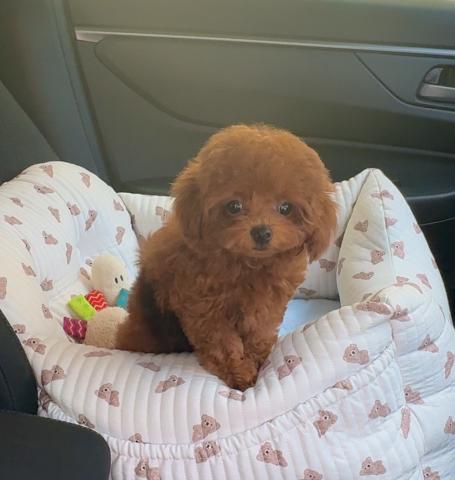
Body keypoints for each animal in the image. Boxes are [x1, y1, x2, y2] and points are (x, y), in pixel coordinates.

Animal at [117, 124, 337, 390]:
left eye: (285, 208)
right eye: (234, 206)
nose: (261, 232)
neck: (247, 264)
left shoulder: (268, 304)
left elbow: (260, 332)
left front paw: (258, 360)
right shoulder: (205, 309)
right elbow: (222, 343)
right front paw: (239, 374)